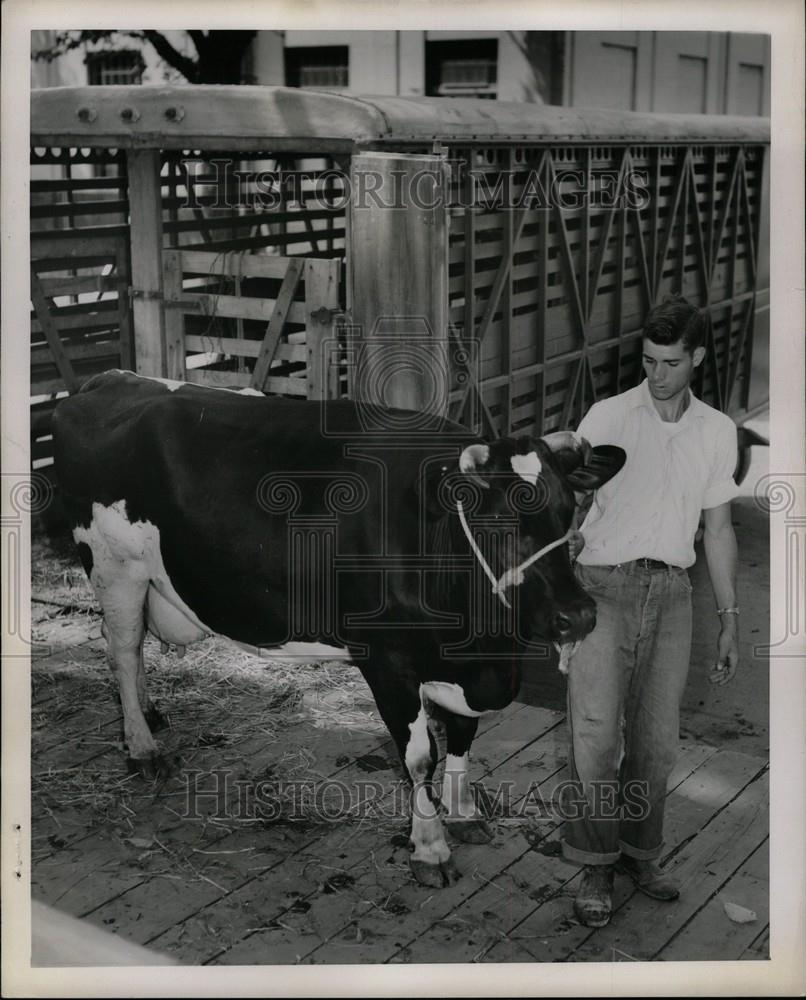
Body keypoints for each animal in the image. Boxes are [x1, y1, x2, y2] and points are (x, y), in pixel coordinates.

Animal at [53, 372, 628, 888]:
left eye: (569, 509)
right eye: (497, 523)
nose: (579, 615)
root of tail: (108, 379)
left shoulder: (469, 668)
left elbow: (464, 734)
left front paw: (464, 813)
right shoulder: (387, 659)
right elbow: (420, 757)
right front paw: (430, 848)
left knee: (130, 650)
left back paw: (149, 713)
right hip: (115, 565)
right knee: (122, 649)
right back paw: (142, 747)